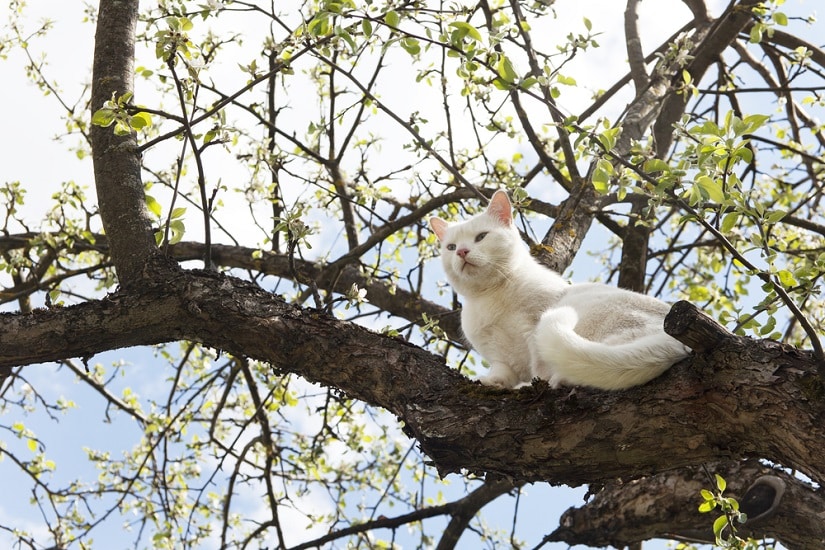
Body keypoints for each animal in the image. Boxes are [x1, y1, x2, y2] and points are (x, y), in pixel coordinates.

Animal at [428, 192, 692, 390]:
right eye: (451, 247)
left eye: (481, 237)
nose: (461, 251)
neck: (489, 295)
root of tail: (678, 344)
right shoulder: (499, 355)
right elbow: (503, 371)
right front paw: (493, 382)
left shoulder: (533, 326)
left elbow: (538, 364)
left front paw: (534, 383)